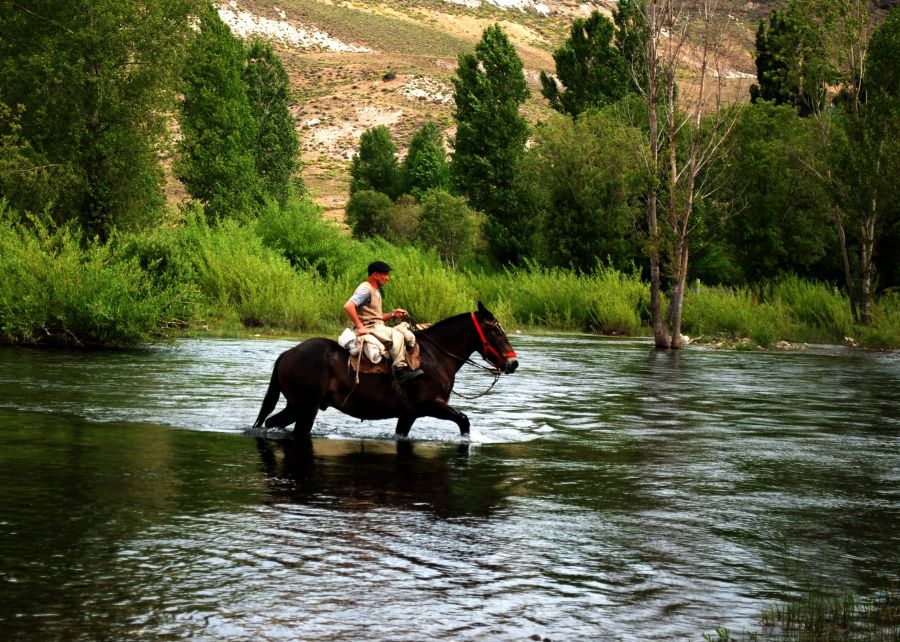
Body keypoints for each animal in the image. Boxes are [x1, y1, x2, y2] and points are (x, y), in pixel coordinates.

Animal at [253, 300, 520, 436]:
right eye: (496, 331)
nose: (513, 363)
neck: (436, 357)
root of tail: (287, 354)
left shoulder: (409, 414)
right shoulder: (431, 405)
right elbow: (464, 421)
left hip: (297, 406)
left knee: (271, 422)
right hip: (306, 407)